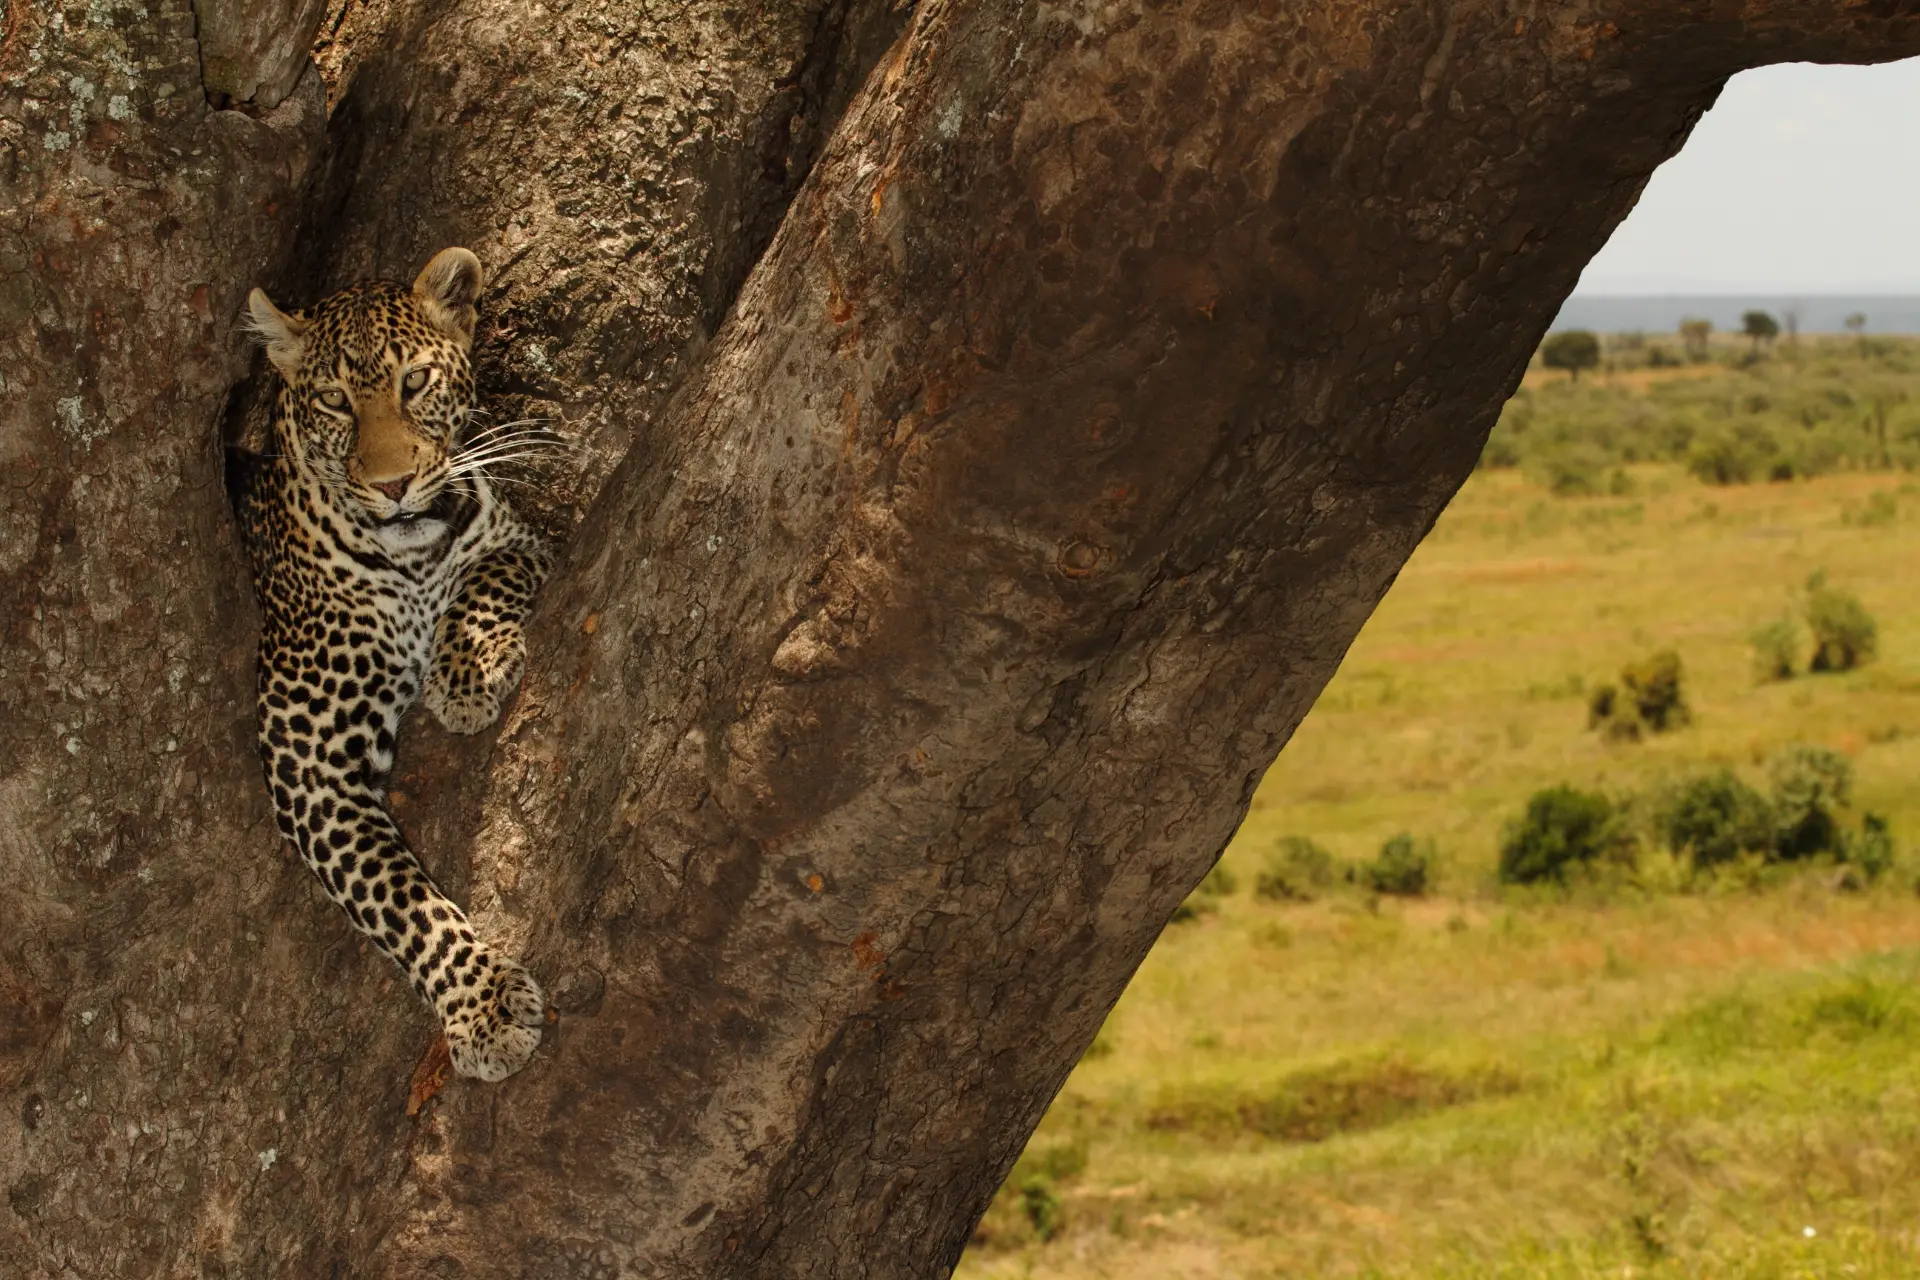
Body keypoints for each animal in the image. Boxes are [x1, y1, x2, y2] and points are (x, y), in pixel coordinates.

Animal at [229, 248, 553, 1082]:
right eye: (335, 402)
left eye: (415, 382)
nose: (393, 487)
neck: (404, 565)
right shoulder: (309, 765)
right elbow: (400, 900)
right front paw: (483, 1005)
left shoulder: (513, 540)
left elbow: (479, 579)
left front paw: (466, 673)